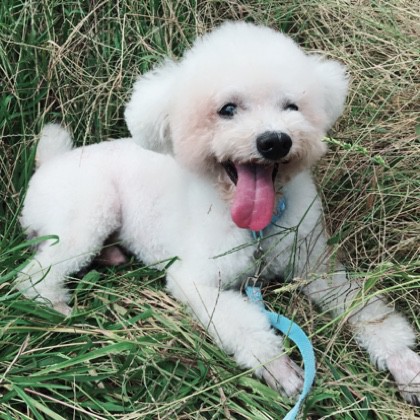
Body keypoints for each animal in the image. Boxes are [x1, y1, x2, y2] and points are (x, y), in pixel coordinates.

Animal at [17, 21, 420, 403]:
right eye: (227, 110)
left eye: (292, 107)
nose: (275, 141)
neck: (256, 228)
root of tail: (49, 160)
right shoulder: (193, 281)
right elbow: (240, 322)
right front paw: (276, 365)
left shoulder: (313, 265)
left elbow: (365, 308)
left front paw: (402, 361)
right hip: (90, 213)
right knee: (33, 275)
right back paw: (59, 308)